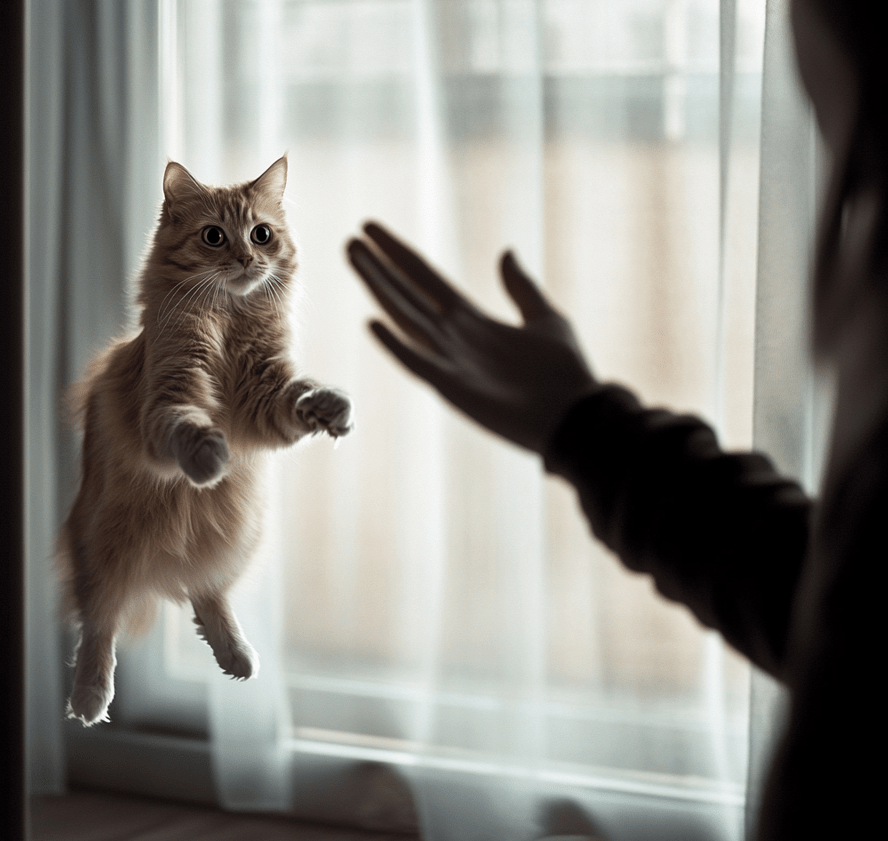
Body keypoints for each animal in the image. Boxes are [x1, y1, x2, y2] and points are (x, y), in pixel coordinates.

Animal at [54, 154, 354, 724]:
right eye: (214, 236)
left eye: (261, 234)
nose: (244, 258)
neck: (230, 323)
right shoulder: (171, 391)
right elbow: (188, 425)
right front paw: (208, 457)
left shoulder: (266, 399)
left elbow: (296, 398)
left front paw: (329, 406)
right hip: (104, 548)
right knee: (99, 623)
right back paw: (89, 699)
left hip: (237, 539)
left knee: (205, 592)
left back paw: (237, 656)